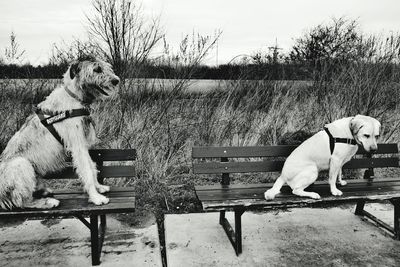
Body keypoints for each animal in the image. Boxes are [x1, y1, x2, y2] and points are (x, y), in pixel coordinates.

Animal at [0, 57, 119, 210]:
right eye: (96, 69)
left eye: (107, 67)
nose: (116, 80)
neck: (74, 97)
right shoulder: (77, 145)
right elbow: (86, 169)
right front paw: (96, 197)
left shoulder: (83, 143)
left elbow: (91, 166)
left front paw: (99, 187)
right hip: (21, 164)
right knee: (21, 201)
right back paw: (48, 202)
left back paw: (43, 191)